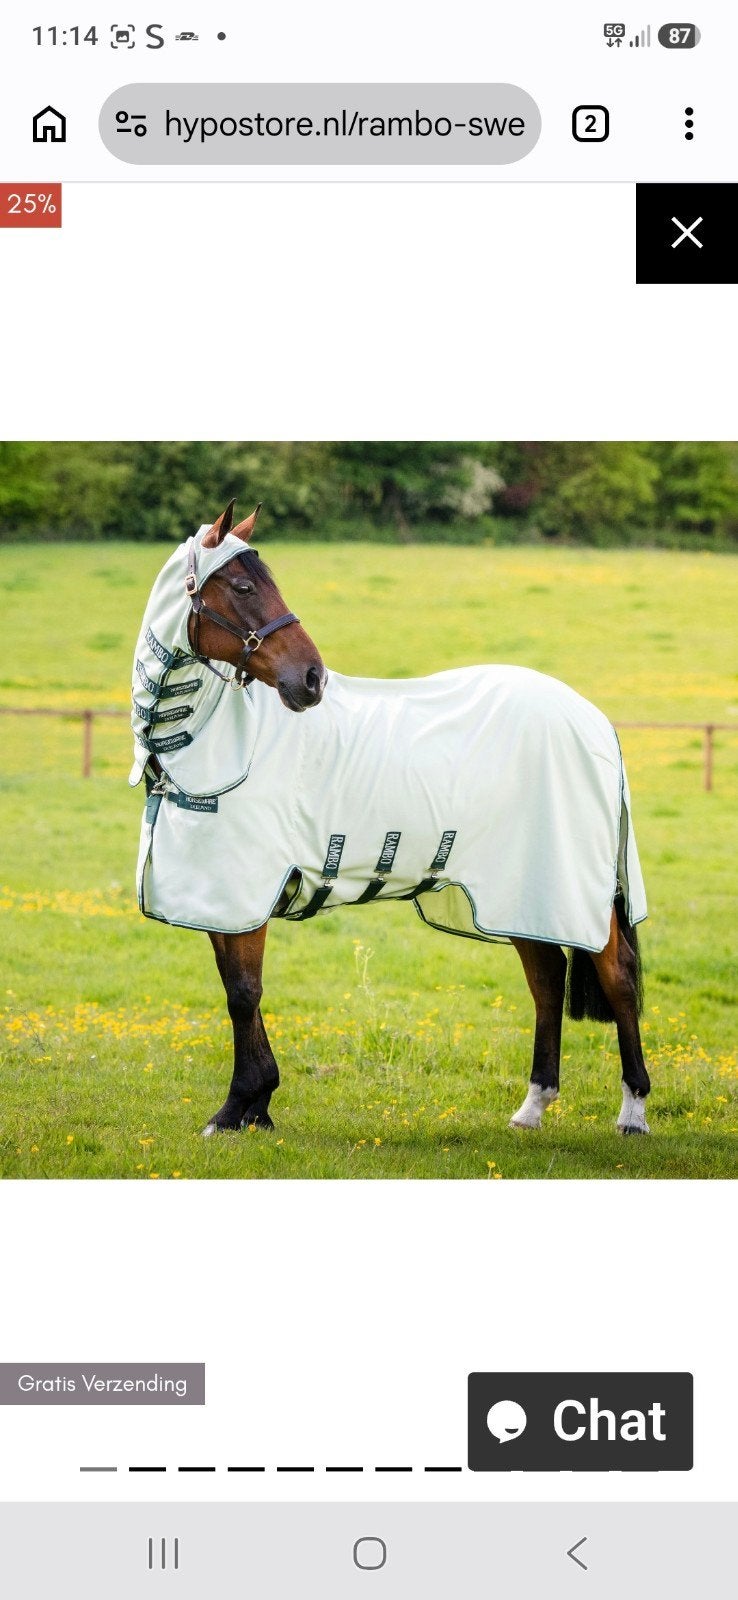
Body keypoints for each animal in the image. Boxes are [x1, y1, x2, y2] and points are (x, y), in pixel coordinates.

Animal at [130, 500, 651, 1140]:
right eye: (245, 586)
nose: (312, 679)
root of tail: (593, 719)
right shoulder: (221, 902)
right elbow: (238, 991)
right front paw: (256, 1107)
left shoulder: (239, 894)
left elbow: (243, 995)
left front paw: (238, 1108)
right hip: (519, 891)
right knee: (547, 978)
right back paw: (533, 1106)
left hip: (575, 892)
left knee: (617, 976)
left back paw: (633, 1111)